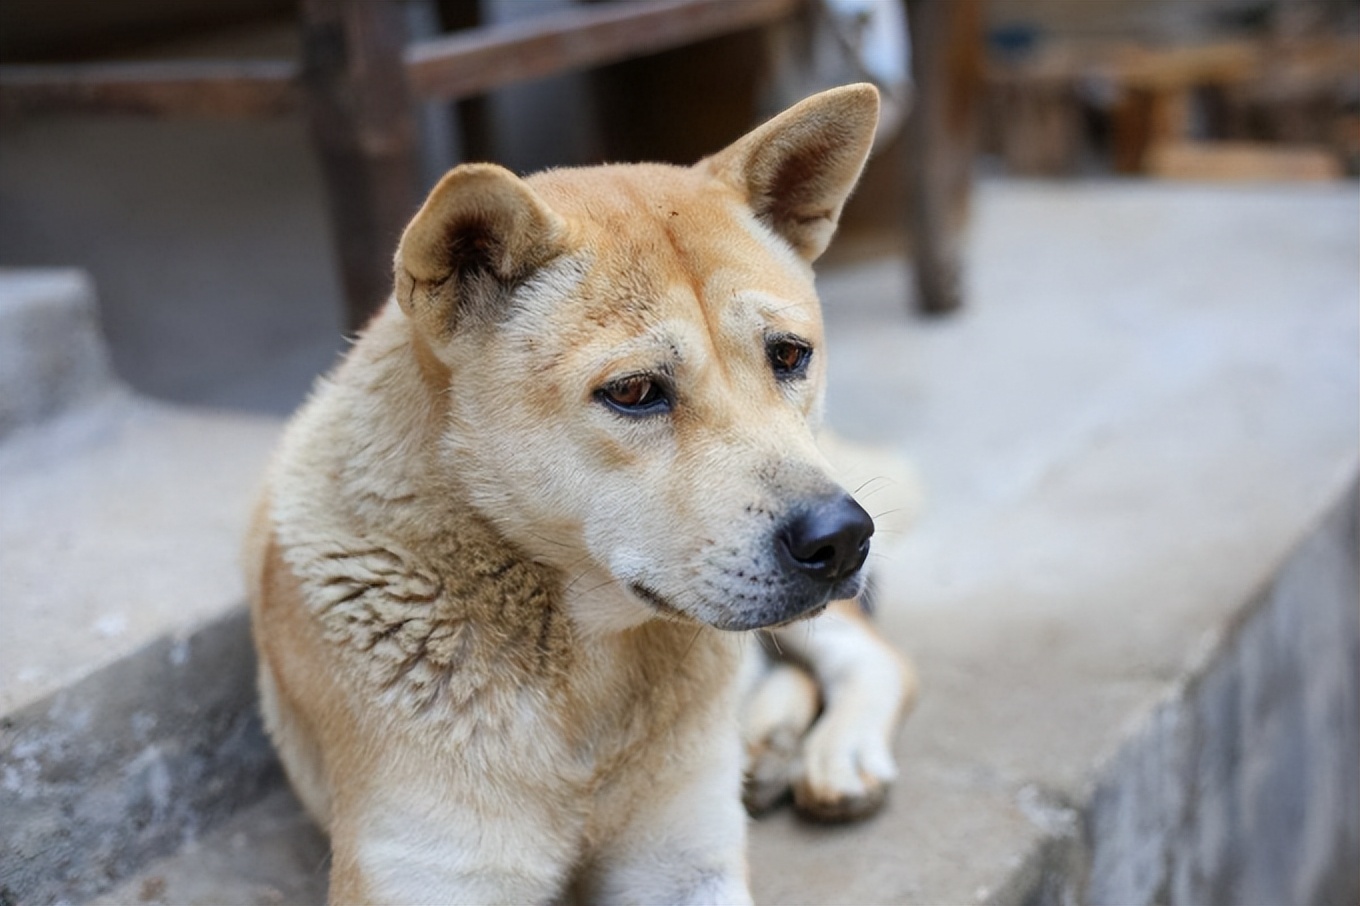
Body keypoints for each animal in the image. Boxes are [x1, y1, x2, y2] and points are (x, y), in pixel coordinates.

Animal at [250, 81, 919, 897]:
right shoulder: (431, 873)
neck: (584, 662)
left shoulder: (684, 865)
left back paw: (829, 750)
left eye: (790, 355)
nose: (843, 539)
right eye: (633, 392)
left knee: (872, 657)